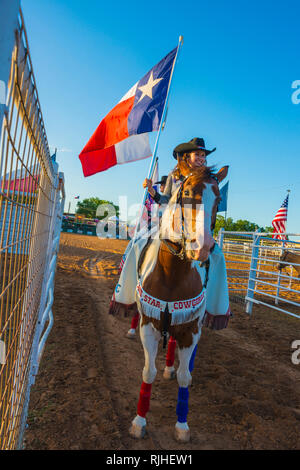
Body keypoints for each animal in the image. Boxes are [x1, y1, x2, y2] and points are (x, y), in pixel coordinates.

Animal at [127, 162, 229, 440]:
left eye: (218, 199)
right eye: (188, 194)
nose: (201, 247)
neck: (172, 274)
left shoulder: (190, 328)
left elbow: (184, 376)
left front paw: (182, 425)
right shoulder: (149, 324)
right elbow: (147, 371)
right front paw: (139, 421)